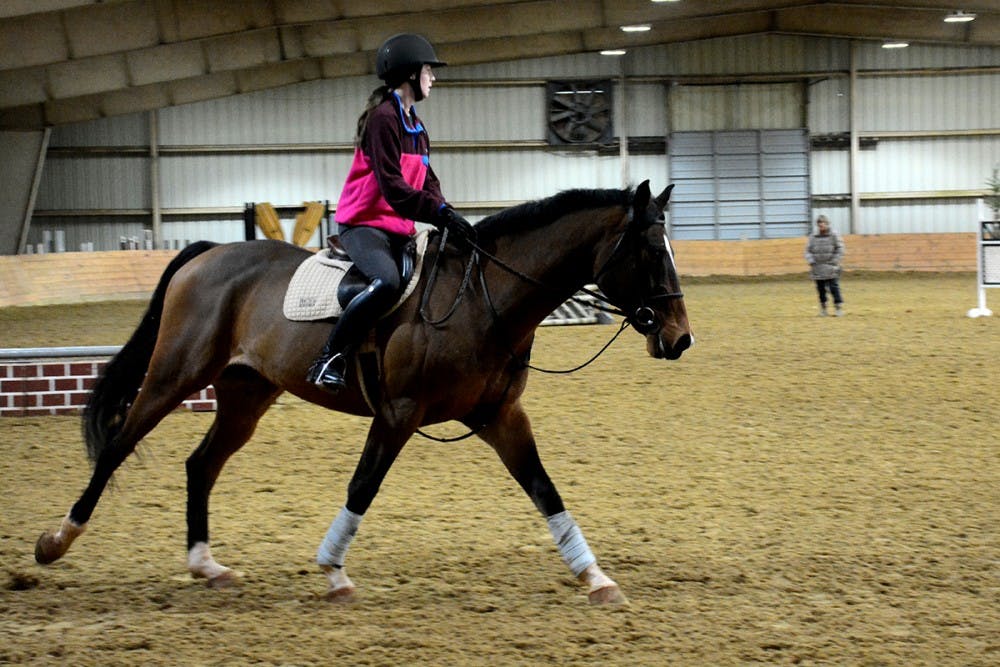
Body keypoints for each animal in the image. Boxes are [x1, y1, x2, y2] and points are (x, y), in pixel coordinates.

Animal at [34, 180, 692, 605]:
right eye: (649, 252)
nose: (680, 338)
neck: (484, 299)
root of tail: (209, 251)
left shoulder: (500, 415)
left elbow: (545, 490)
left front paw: (596, 578)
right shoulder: (398, 415)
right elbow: (362, 487)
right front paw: (333, 574)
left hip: (246, 394)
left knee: (200, 464)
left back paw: (207, 565)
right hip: (175, 375)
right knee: (118, 444)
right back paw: (54, 542)